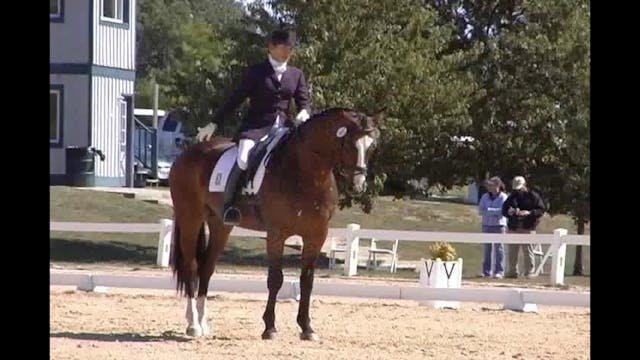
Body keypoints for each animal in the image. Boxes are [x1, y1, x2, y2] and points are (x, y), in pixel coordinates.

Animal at [168, 107, 382, 340]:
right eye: (351, 144)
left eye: (372, 147)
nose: (357, 187)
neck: (305, 172)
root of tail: (187, 153)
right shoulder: (276, 234)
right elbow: (275, 279)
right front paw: (269, 327)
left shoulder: (316, 235)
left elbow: (307, 281)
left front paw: (307, 328)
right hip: (191, 218)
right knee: (191, 266)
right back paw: (193, 325)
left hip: (221, 225)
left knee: (207, 267)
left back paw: (203, 323)